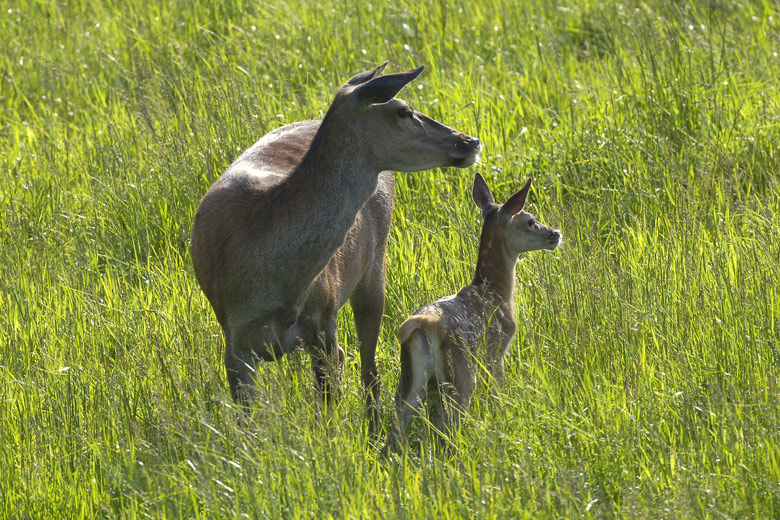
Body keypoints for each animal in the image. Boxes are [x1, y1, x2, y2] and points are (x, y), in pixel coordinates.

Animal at [191, 64, 478, 430]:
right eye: (404, 110)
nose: (469, 141)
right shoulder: (234, 340)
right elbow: (248, 424)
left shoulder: (324, 320)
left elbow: (330, 406)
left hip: (375, 264)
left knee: (370, 368)